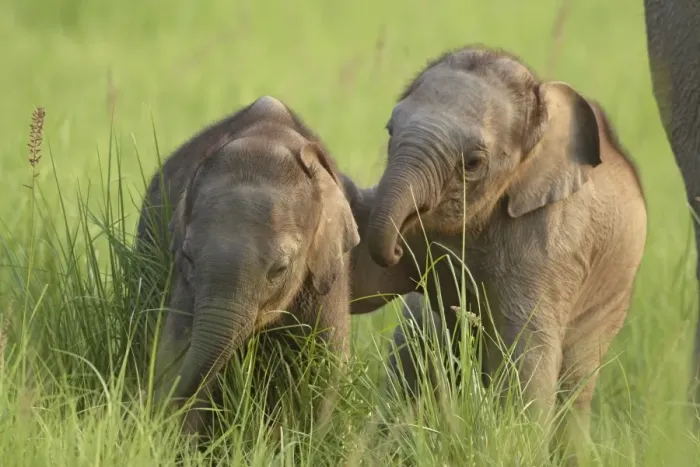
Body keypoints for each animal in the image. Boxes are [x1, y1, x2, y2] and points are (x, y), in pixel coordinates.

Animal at [134, 95, 360, 437]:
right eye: (187, 256)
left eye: (279, 269)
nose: (140, 400)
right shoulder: (186, 288)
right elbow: (177, 355)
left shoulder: (327, 279)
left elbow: (322, 374)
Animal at [342, 45, 648, 450]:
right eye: (390, 131)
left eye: (473, 162)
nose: (394, 251)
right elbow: (362, 284)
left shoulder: (551, 244)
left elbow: (528, 357)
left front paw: (511, 447)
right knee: (414, 344)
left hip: (610, 302)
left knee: (574, 386)